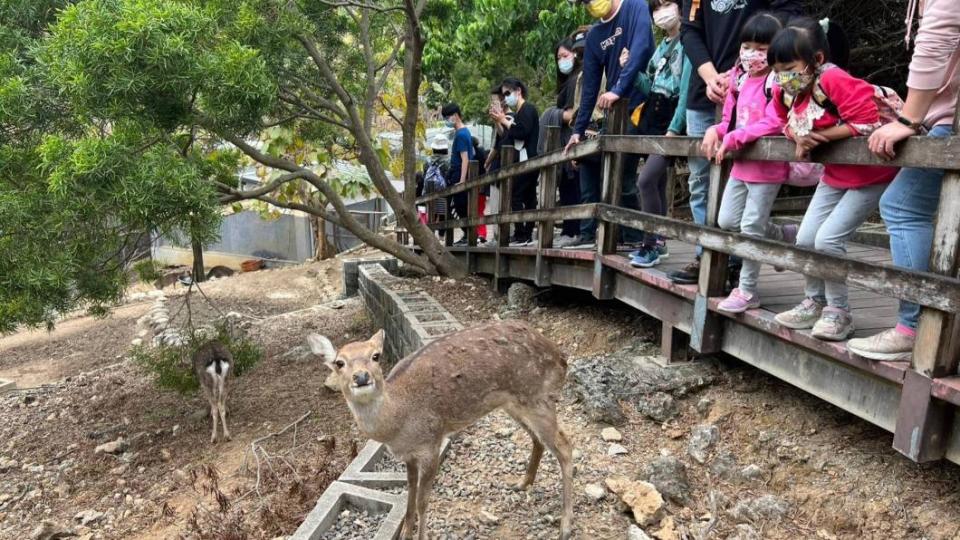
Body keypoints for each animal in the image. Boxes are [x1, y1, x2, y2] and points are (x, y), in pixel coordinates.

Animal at [308, 320, 572, 540]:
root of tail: (561, 358)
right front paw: (405, 533)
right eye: (339, 362)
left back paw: (565, 527)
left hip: (538, 397)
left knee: (565, 446)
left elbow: (423, 501)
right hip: (515, 403)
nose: (361, 377)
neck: (398, 424)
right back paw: (522, 483)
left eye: (376, 356)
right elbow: (409, 495)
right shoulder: (408, 456)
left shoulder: (431, 444)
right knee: (538, 439)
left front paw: (421, 536)